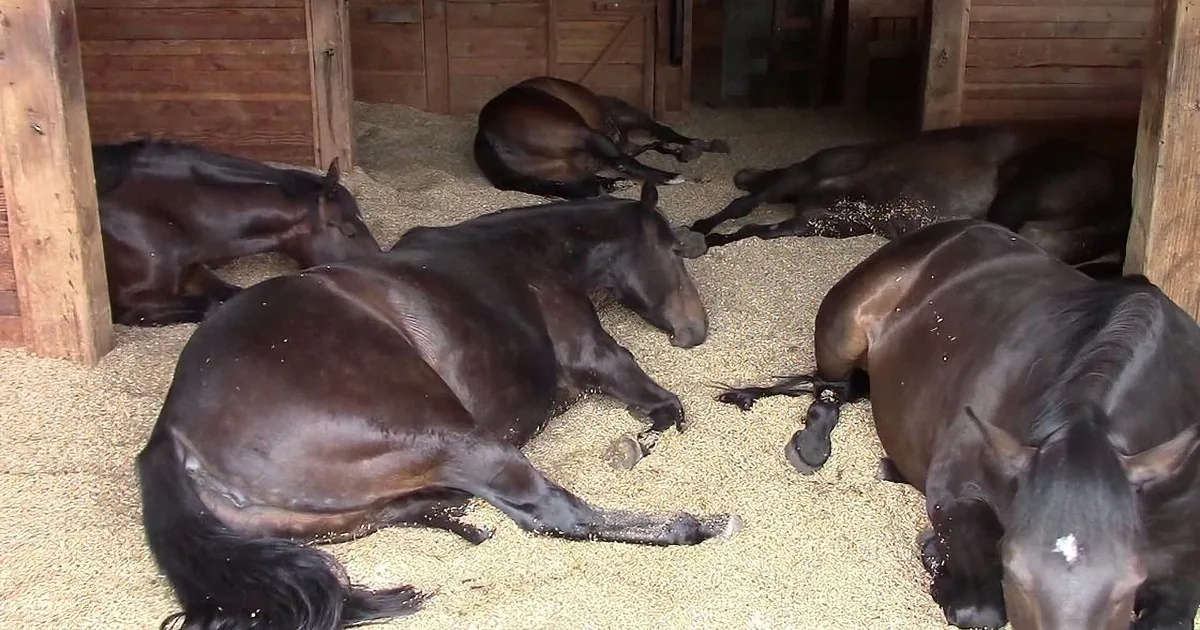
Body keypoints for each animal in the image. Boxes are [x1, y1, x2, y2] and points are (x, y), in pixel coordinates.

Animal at [135, 182, 738, 630]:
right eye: (672, 251)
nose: (696, 331)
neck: (526, 252)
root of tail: (173, 430)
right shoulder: (602, 359)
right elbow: (666, 408)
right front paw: (639, 445)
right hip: (456, 439)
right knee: (554, 514)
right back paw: (699, 526)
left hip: (332, 517)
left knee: (413, 508)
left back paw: (466, 524)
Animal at [473, 76, 731, 199]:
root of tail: (487, 134)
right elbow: (664, 133)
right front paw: (698, 146)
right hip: (584, 134)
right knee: (624, 162)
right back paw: (674, 177)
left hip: (564, 170)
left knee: (588, 183)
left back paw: (614, 184)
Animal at [684, 124, 1133, 278]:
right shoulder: (808, 193)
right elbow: (744, 211)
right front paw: (702, 231)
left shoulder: (821, 218)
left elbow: (754, 227)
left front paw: (706, 238)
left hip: (1023, 193)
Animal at [714, 220, 1200, 629]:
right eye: (1015, 572)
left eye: (1129, 581)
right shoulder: (955, 493)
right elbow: (980, 608)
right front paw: (936, 560)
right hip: (842, 333)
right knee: (830, 388)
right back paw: (811, 445)